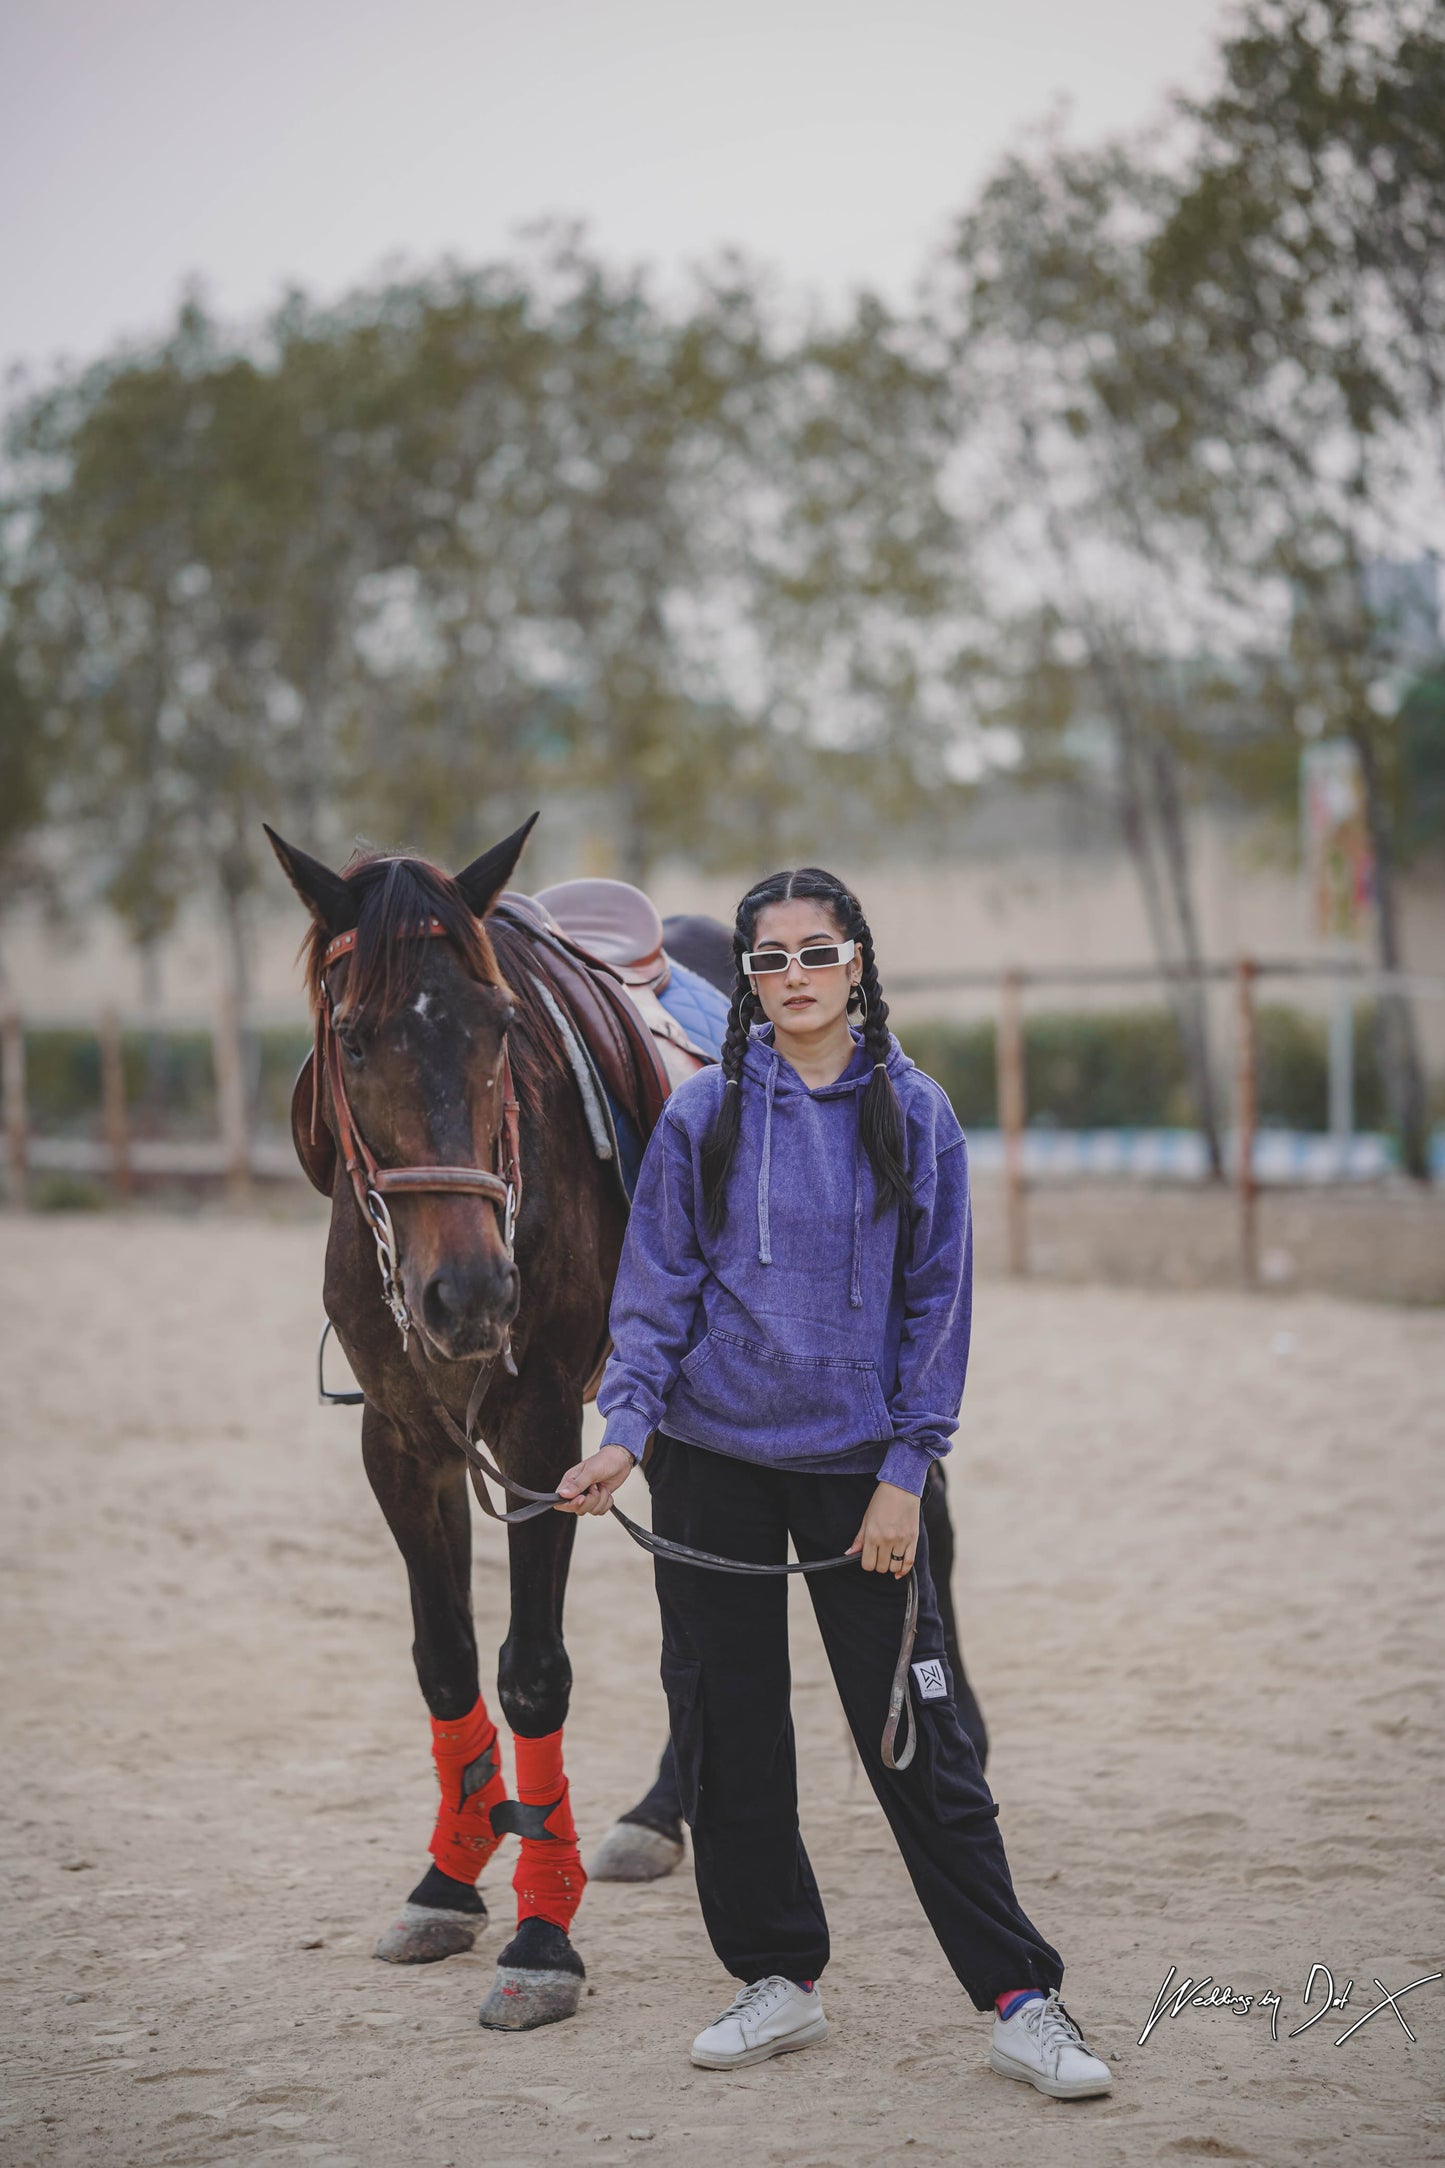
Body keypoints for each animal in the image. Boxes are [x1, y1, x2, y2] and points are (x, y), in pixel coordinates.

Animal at [265, 815, 636, 2029]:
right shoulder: (399, 1439)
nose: (469, 1293)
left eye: (501, 1027)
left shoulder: (540, 1433)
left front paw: (543, 1927)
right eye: (351, 1038)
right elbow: (445, 1657)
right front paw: (448, 1874)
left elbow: (530, 1668)